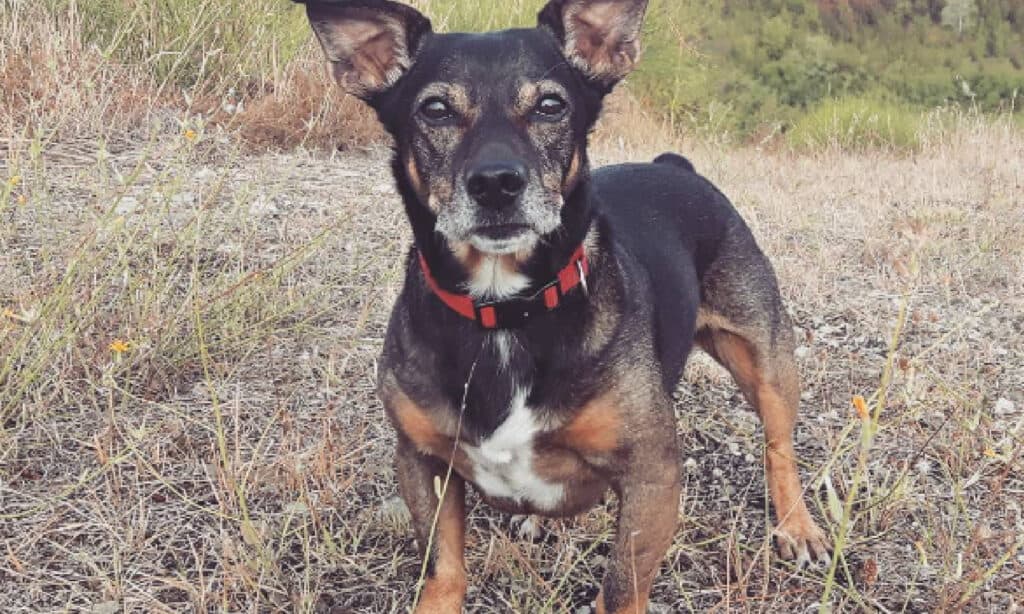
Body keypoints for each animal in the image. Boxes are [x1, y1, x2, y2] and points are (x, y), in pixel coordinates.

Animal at [299, 2, 831, 609]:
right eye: (435, 109)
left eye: (551, 105)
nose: (496, 183)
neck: (505, 312)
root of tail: (675, 165)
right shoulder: (420, 460)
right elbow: (443, 565)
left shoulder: (651, 476)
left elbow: (622, 587)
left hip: (765, 358)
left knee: (778, 445)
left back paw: (798, 527)